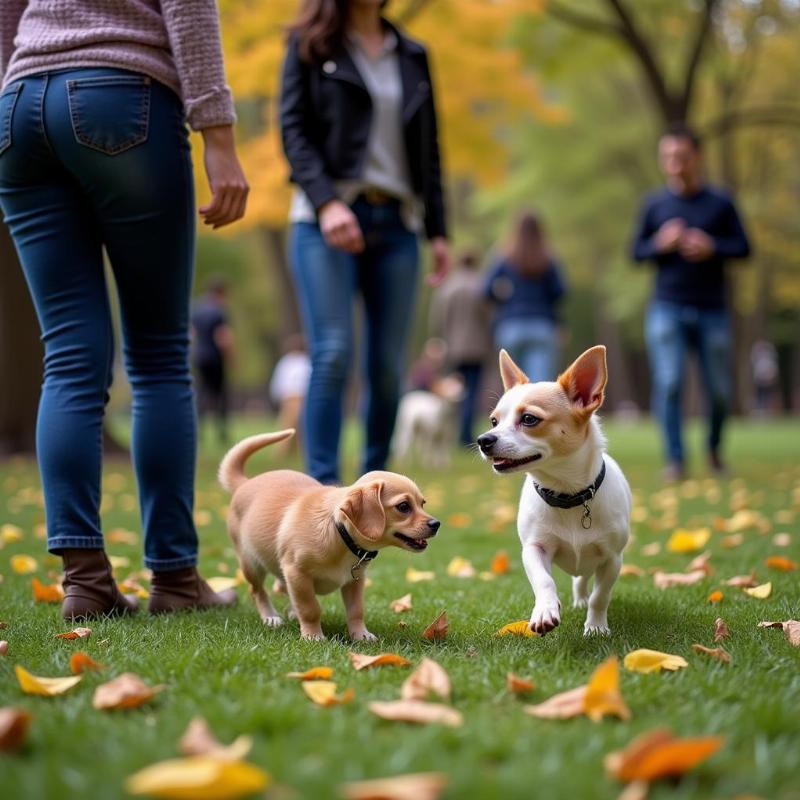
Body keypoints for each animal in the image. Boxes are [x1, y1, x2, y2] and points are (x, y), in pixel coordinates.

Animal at [219, 428, 440, 640]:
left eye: (422, 503)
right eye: (403, 506)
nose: (436, 524)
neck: (339, 532)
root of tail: (244, 482)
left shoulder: (354, 582)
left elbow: (356, 611)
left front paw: (360, 635)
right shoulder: (296, 573)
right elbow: (310, 608)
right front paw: (313, 636)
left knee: (280, 588)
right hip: (251, 564)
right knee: (258, 591)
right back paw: (270, 617)